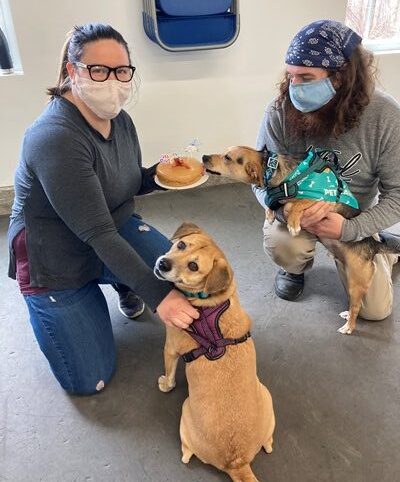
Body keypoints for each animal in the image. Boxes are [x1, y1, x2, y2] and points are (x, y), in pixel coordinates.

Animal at [154, 224, 276, 482]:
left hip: (184, 414)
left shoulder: (170, 348)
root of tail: (236, 462)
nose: (163, 263)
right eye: (181, 245)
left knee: (186, 454)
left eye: (193, 266)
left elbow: (170, 376)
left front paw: (165, 384)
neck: (211, 299)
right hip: (266, 396)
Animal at [203, 147, 396, 336]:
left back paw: (348, 326)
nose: (204, 156)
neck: (273, 167)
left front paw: (293, 223)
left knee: (356, 306)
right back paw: (347, 315)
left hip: (357, 281)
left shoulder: (320, 200)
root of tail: (374, 246)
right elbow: (273, 203)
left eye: (227, 157)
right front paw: (270, 213)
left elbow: (295, 204)